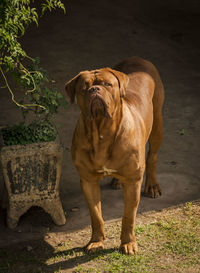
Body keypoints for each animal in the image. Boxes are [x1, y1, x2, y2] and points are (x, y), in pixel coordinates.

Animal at [65, 56, 164, 254]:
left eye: (107, 84)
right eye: (84, 87)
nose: (95, 89)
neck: (102, 131)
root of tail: (138, 58)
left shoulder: (133, 182)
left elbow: (128, 217)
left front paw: (128, 243)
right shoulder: (88, 181)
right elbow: (96, 216)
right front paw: (96, 241)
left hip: (157, 123)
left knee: (152, 157)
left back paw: (152, 186)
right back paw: (117, 181)